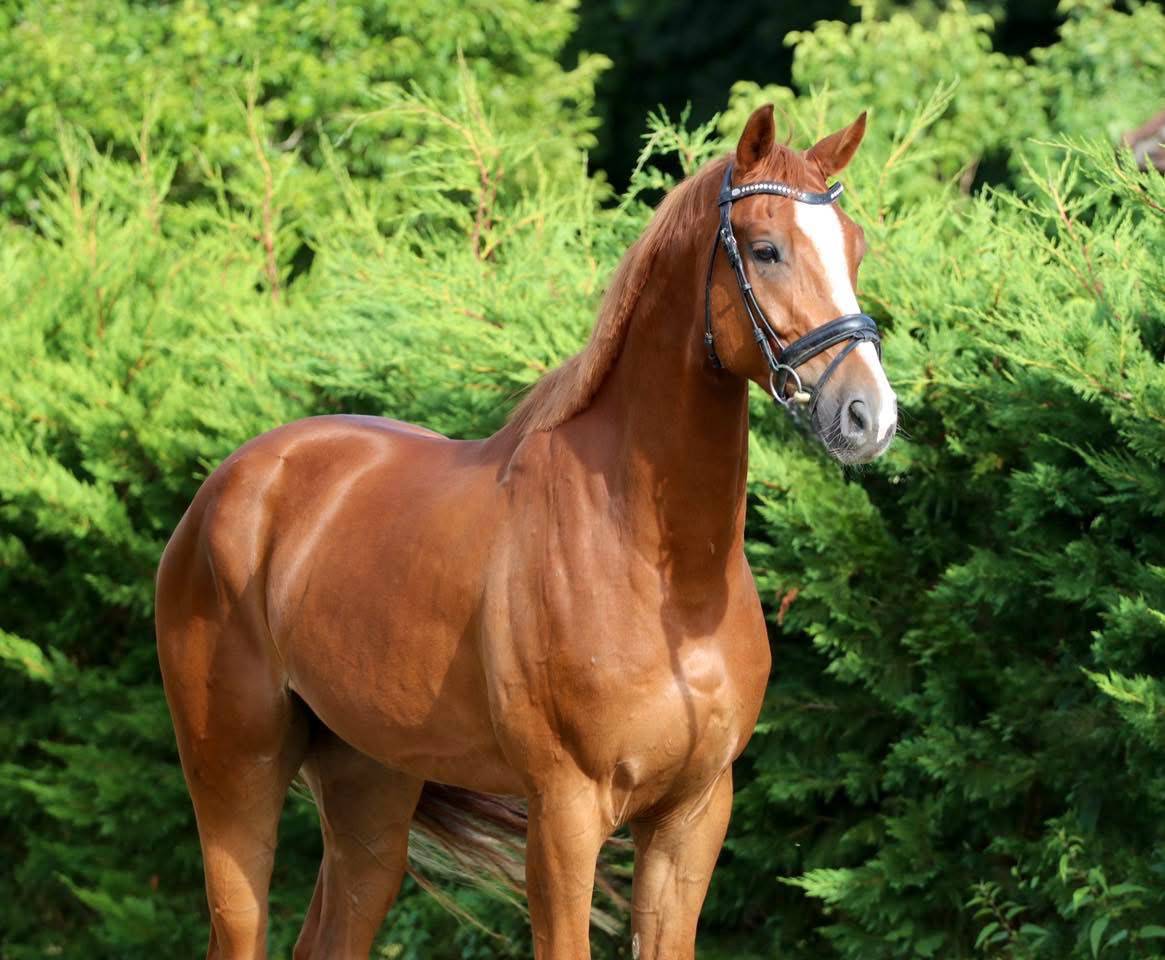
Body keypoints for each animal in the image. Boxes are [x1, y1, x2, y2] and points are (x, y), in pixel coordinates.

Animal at [156, 103, 897, 960]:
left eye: (854, 246)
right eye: (766, 248)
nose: (869, 415)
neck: (658, 567)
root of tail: (229, 487)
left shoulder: (692, 815)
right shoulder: (565, 814)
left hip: (368, 783)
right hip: (234, 772)